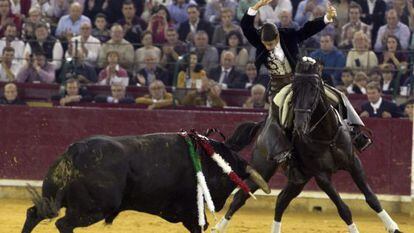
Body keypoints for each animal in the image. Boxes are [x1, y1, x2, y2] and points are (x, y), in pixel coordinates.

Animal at [21, 132, 268, 232]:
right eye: (225, 180)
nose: (219, 203)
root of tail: (76, 151)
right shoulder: (192, 214)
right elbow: (199, 226)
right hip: (93, 209)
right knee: (63, 225)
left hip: (53, 197)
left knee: (34, 214)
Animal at [213, 58, 402, 233]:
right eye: (295, 91)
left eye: (314, 88)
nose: (299, 124)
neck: (327, 135)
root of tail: (262, 126)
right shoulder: (321, 176)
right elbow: (343, 209)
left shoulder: (353, 163)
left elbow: (371, 197)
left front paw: (393, 227)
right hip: (263, 169)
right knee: (240, 196)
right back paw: (219, 227)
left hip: (299, 179)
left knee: (281, 200)